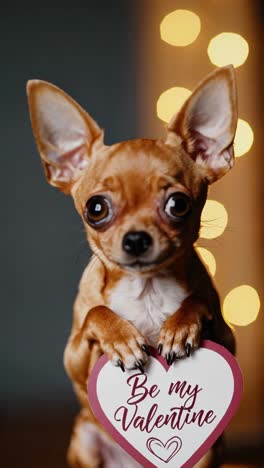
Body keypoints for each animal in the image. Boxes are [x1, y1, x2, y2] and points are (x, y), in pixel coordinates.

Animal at [26, 66, 237, 468]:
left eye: (178, 205)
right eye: (96, 209)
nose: (136, 239)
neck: (147, 289)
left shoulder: (225, 341)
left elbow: (198, 302)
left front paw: (180, 327)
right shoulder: (75, 359)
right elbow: (95, 314)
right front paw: (121, 339)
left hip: (210, 452)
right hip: (85, 438)